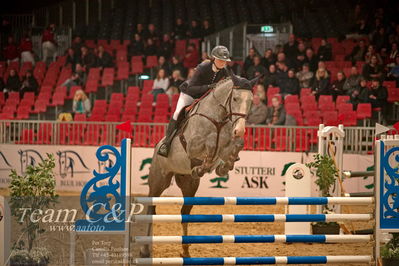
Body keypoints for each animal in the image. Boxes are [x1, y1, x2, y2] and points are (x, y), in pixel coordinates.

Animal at [141, 71, 260, 258]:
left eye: (251, 101)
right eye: (235, 98)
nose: (239, 130)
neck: (218, 118)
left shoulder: (226, 145)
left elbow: (234, 146)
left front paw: (224, 166)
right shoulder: (193, 145)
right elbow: (210, 143)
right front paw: (204, 165)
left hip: (189, 185)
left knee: (184, 213)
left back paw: (185, 251)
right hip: (158, 182)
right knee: (151, 210)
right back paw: (145, 250)